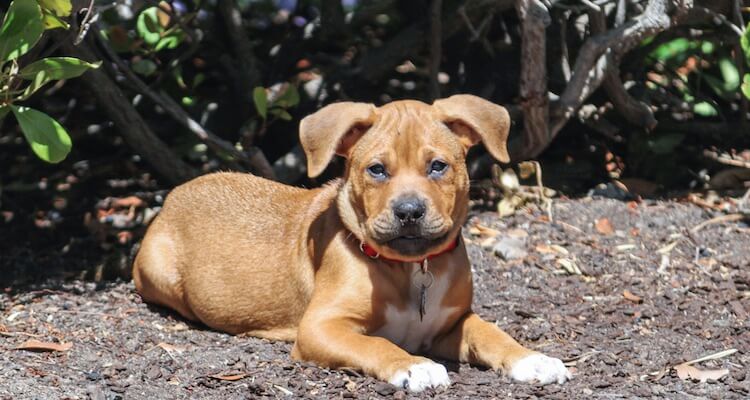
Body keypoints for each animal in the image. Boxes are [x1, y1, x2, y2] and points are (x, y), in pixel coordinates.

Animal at [134, 95, 568, 392]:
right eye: (376, 170)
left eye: (437, 166)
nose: (409, 211)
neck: (410, 269)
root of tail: (176, 193)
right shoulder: (322, 327)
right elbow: (375, 345)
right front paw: (414, 365)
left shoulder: (455, 322)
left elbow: (493, 334)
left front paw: (532, 359)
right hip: (159, 275)